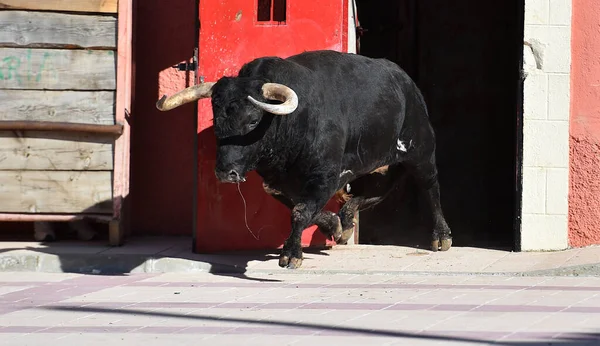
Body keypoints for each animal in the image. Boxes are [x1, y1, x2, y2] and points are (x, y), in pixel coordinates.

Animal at [157, 49, 452, 270]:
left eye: (252, 120)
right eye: (216, 120)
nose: (224, 172)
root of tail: (405, 81)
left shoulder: (325, 175)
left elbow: (300, 211)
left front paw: (291, 254)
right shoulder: (276, 183)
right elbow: (303, 207)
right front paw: (334, 225)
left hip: (421, 151)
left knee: (430, 188)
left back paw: (442, 237)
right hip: (386, 162)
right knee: (380, 192)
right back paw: (347, 220)